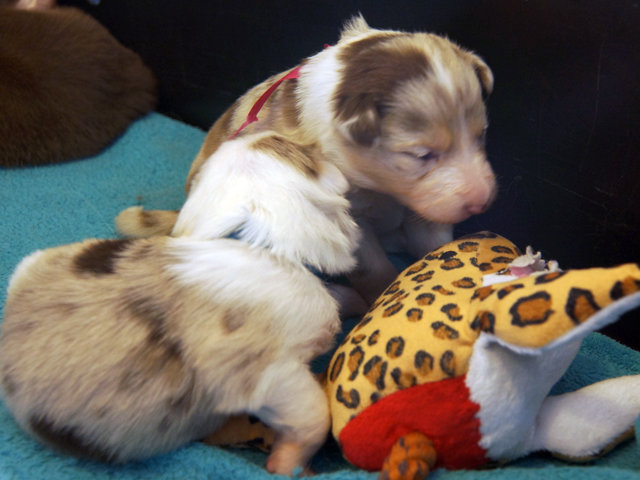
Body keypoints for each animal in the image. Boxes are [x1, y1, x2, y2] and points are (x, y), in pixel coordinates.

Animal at [116, 15, 496, 315]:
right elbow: (373, 266)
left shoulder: (426, 207)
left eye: (481, 135)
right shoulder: (353, 218)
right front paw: (386, 293)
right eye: (422, 155)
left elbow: (434, 238)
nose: (482, 201)